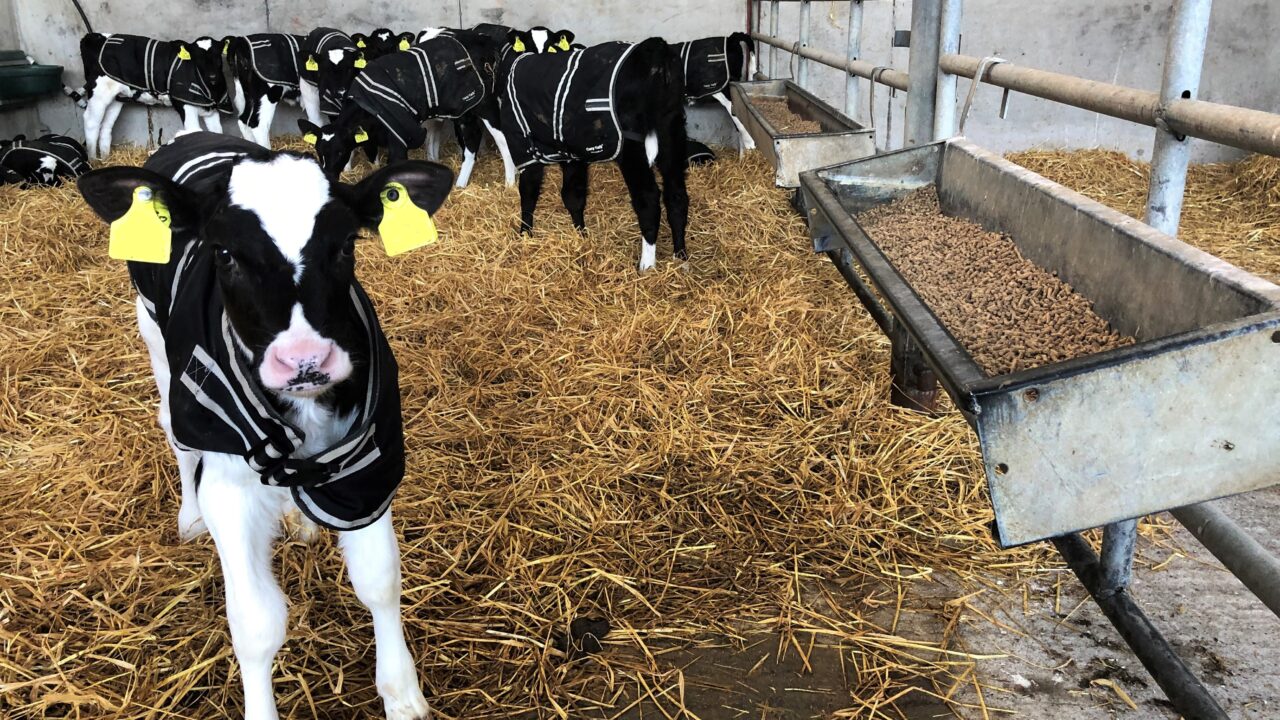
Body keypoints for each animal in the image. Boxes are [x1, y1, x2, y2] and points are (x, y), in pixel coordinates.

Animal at [74, 33, 231, 160]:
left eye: (217, 56)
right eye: (197, 58)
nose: (212, 77)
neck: (209, 89)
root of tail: (94, 36)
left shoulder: (211, 110)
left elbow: (218, 133)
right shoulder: (184, 105)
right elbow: (195, 132)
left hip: (116, 98)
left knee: (106, 126)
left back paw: (105, 160)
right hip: (99, 93)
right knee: (91, 122)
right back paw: (94, 162)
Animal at [75, 131, 453, 720]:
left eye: (345, 246)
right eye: (225, 253)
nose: (305, 360)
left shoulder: (367, 467)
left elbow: (380, 581)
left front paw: (402, 694)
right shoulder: (230, 489)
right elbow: (257, 624)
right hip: (155, 339)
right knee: (174, 429)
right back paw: (189, 517)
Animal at [498, 29, 689, 271]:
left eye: (551, 45)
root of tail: (655, 46)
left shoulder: (522, 143)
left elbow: (528, 192)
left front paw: (524, 234)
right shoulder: (572, 152)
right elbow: (573, 195)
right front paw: (581, 236)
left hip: (631, 143)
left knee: (648, 199)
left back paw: (646, 265)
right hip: (672, 131)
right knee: (677, 196)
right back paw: (681, 258)